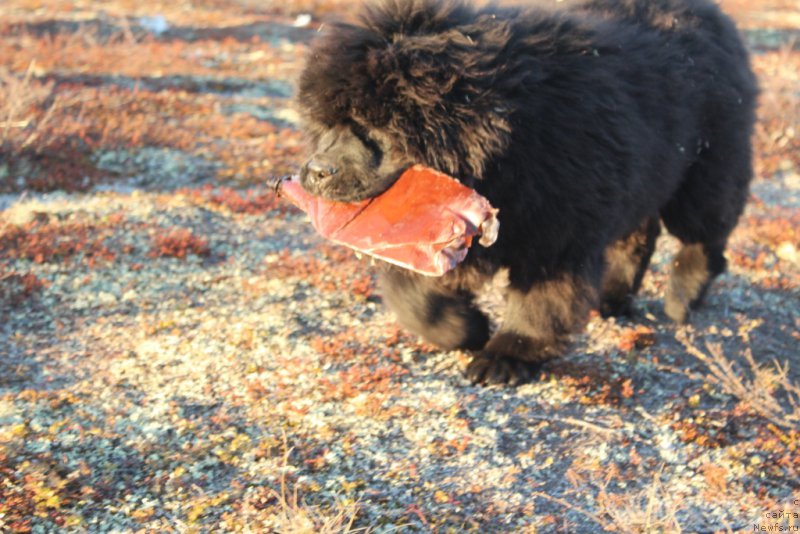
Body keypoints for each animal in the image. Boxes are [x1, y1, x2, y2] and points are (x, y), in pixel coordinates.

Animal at [294, 0, 756, 386]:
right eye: (328, 124)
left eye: (373, 127)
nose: (315, 170)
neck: (512, 150)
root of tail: (715, 17)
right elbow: (414, 298)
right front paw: (467, 330)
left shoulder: (559, 238)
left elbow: (539, 306)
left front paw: (505, 357)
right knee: (639, 237)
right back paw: (612, 297)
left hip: (704, 172)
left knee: (705, 239)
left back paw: (681, 298)